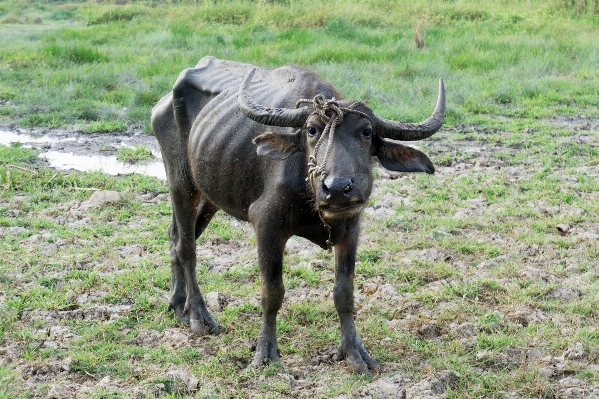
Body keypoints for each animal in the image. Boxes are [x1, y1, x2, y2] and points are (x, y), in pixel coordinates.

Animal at [152, 54, 446, 374]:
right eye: (311, 130)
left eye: (367, 132)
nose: (337, 188)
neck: (310, 198)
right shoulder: (266, 225)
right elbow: (272, 292)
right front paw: (265, 353)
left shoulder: (351, 229)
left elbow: (344, 293)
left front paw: (354, 352)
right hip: (181, 180)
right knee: (187, 246)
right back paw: (198, 315)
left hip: (211, 193)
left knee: (175, 235)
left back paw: (177, 304)